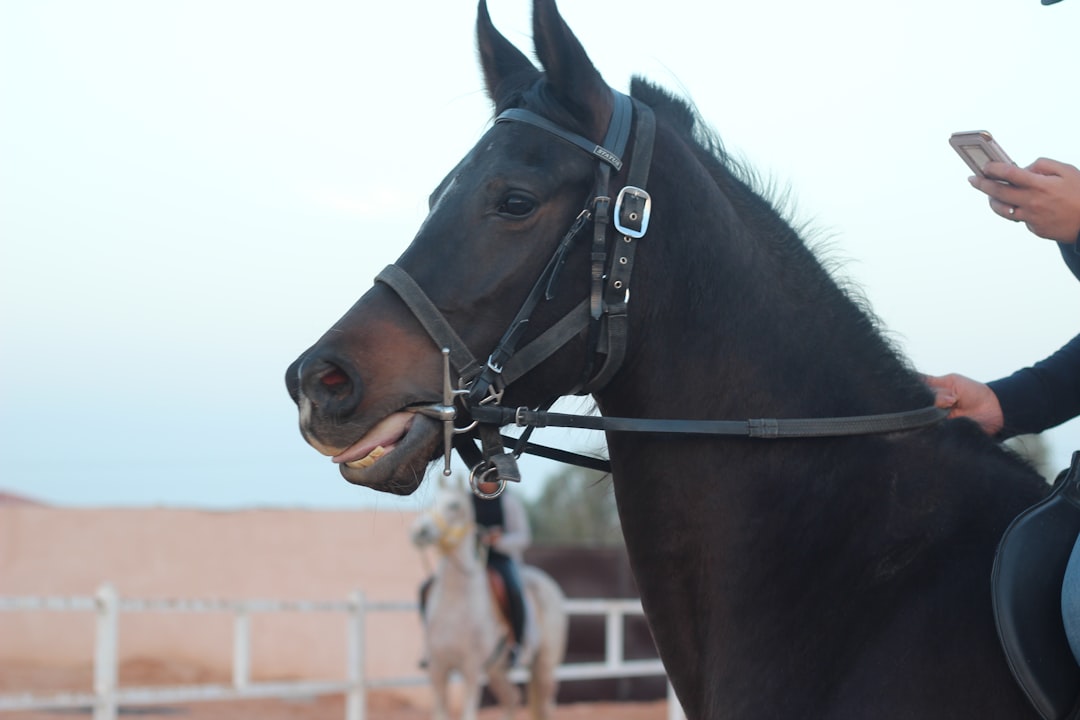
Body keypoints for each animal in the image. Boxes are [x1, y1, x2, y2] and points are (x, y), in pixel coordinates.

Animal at [410, 476, 567, 720]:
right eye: (430, 502)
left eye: (454, 505)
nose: (420, 531)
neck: (455, 603)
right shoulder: (437, 671)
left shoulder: (471, 671)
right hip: (497, 671)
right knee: (512, 698)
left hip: (544, 666)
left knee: (545, 705)